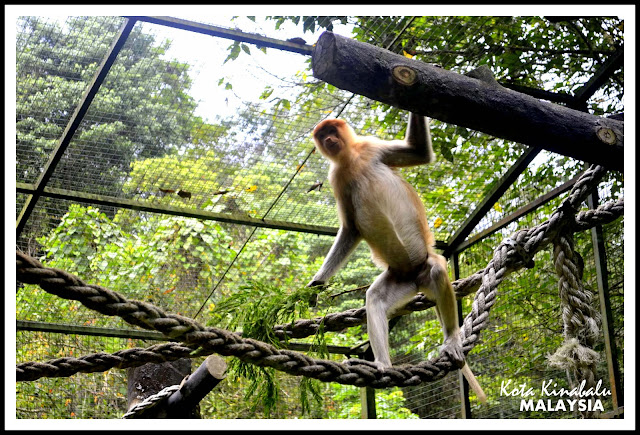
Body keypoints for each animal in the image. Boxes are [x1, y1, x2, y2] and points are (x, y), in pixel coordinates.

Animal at [308, 114, 484, 404]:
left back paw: (451, 340)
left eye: (332, 130)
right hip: (399, 278)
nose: (330, 139)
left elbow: (420, 152)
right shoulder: (337, 178)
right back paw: (381, 364)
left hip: (424, 264)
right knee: (375, 299)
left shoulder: (371, 148)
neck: (351, 159)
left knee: (437, 271)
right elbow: (350, 229)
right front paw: (315, 285)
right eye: (323, 136)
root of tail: (414, 275)